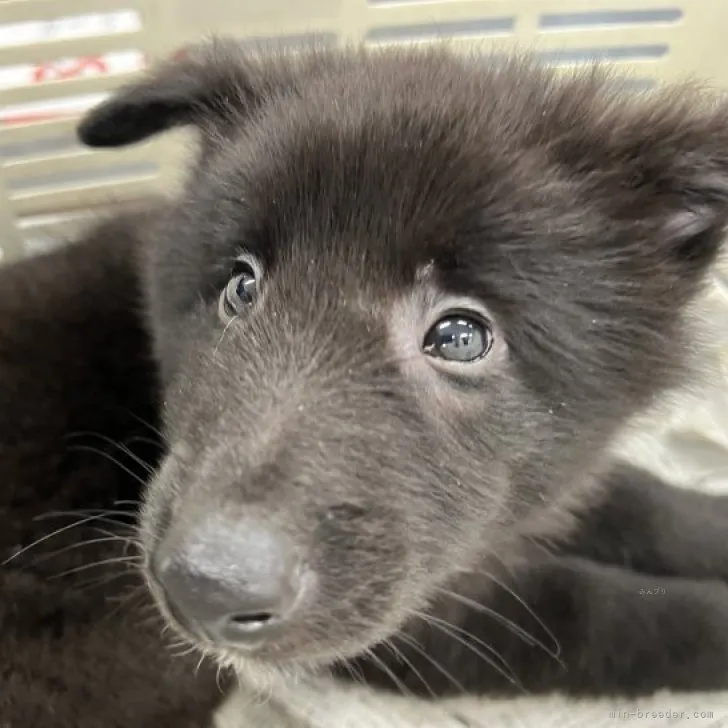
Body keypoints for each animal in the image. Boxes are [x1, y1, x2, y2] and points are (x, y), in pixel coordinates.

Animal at [4, 38, 728, 724]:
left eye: (461, 337)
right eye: (241, 287)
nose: (204, 587)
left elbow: (636, 499)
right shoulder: (425, 626)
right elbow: (610, 615)